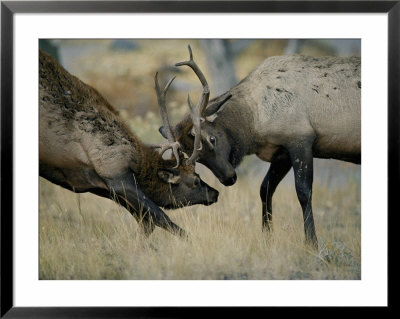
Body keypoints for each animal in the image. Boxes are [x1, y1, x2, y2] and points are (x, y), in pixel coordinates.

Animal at [38, 50, 219, 239]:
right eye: (195, 180)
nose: (215, 193)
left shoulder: (98, 184)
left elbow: (147, 220)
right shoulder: (115, 173)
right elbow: (162, 218)